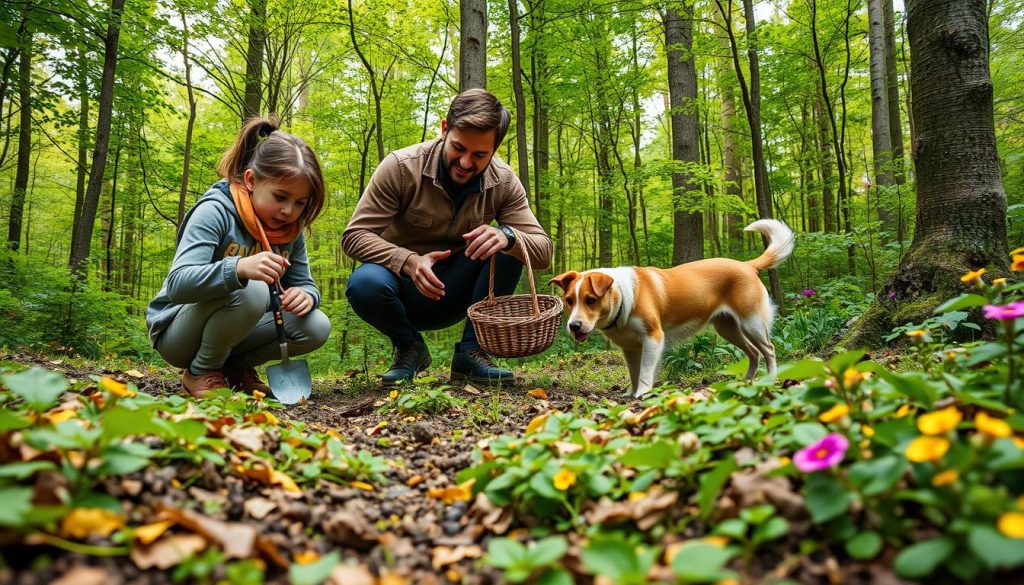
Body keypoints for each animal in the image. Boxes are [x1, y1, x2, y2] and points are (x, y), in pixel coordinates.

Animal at [548, 219, 794, 397]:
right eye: (569, 300)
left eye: (590, 300)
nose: (574, 326)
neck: (625, 299)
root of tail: (747, 265)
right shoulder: (630, 348)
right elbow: (634, 373)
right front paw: (631, 393)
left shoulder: (654, 338)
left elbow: (645, 372)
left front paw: (642, 393)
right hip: (727, 328)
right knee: (753, 352)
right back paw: (748, 380)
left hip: (752, 323)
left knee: (769, 349)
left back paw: (771, 378)